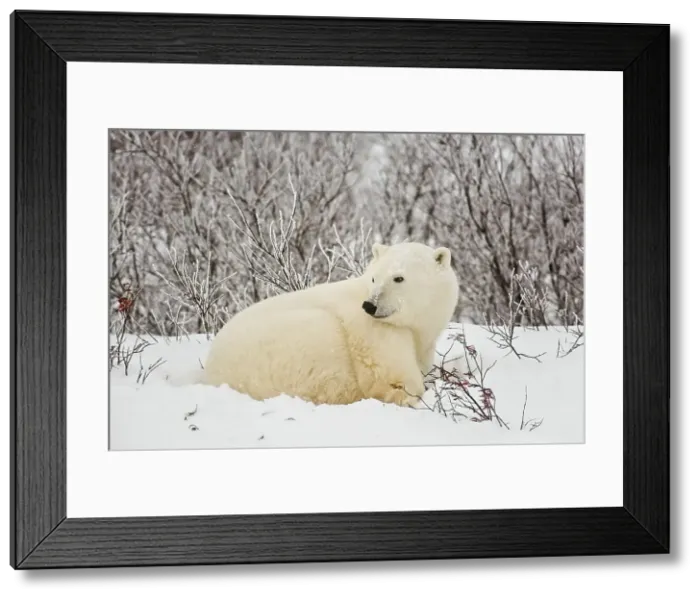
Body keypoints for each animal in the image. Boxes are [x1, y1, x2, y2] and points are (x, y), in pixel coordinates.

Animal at [201, 241, 459, 408]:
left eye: (398, 278)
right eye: (374, 277)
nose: (370, 305)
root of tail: (212, 370)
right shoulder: (374, 331)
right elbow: (389, 375)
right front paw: (408, 393)